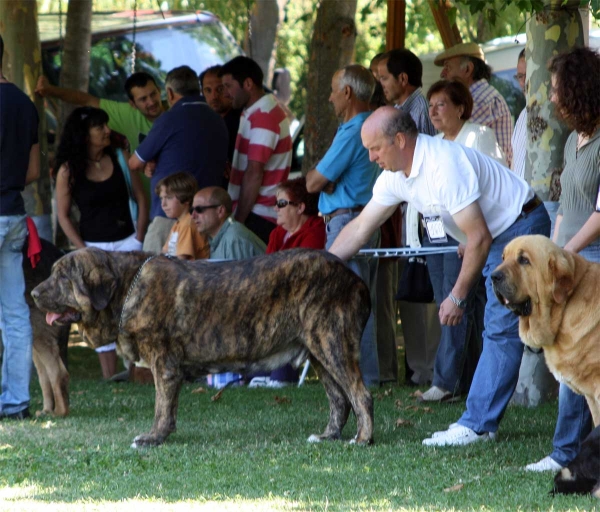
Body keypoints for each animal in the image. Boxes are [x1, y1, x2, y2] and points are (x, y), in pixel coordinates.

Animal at [31, 248, 376, 448]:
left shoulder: (164, 366)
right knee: (339, 399)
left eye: (62, 277)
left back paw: (363, 439)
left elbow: (161, 407)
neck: (128, 286)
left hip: (331, 344)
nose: (32, 293)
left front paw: (154, 437)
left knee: (360, 395)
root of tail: (355, 277)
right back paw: (328, 436)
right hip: (319, 352)